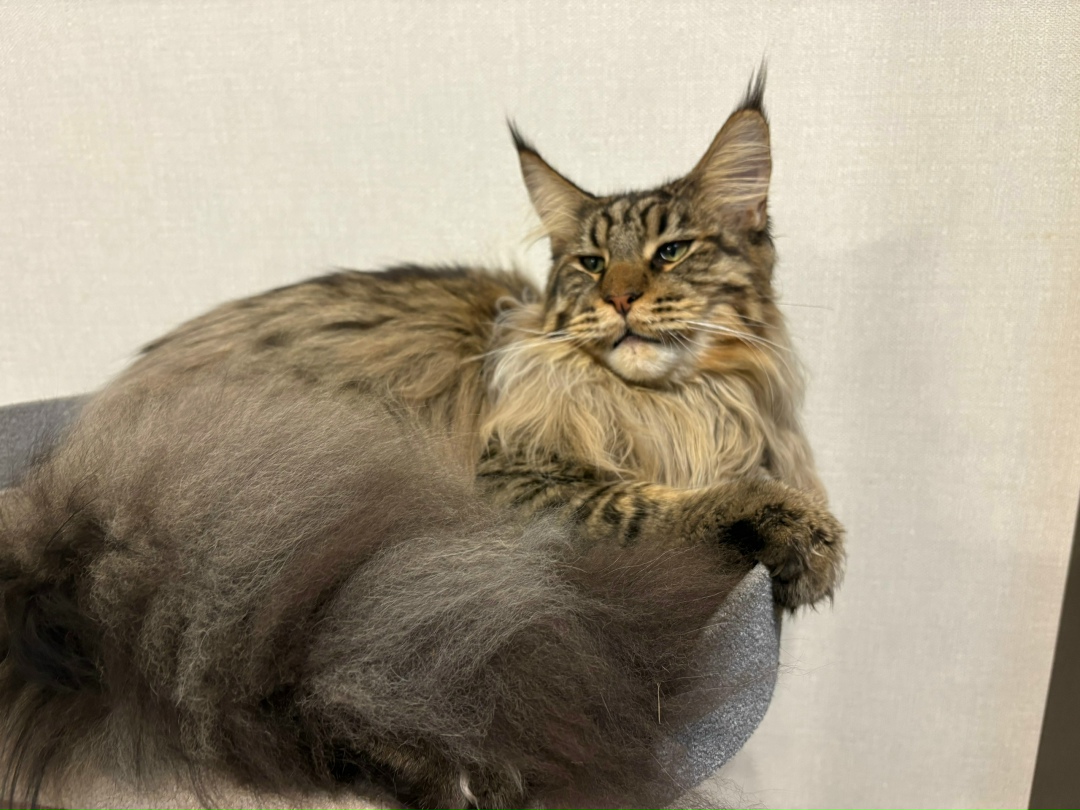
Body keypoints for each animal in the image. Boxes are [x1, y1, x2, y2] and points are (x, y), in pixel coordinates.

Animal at [0, 72, 843, 810]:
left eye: (671, 251)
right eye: (592, 262)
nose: (622, 298)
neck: (680, 409)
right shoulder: (521, 480)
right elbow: (654, 502)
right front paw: (799, 534)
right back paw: (462, 773)